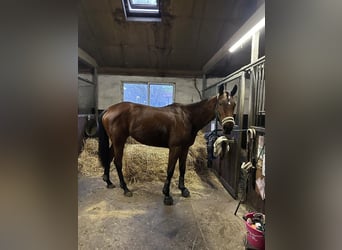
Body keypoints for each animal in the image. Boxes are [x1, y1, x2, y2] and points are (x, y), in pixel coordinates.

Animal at [98, 84, 238, 205]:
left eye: (234, 105)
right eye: (220, 104)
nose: (229, 127)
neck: (187, 117)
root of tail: (108, 109)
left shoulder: (185, 148)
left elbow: (182, 168)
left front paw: (183, 189)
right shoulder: (175, 148)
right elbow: (170, 170)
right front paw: (167, 195)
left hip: (116, 141)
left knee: (109, 157)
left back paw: (109, 182)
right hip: (119, 141)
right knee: (117, 162)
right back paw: (125, 189)